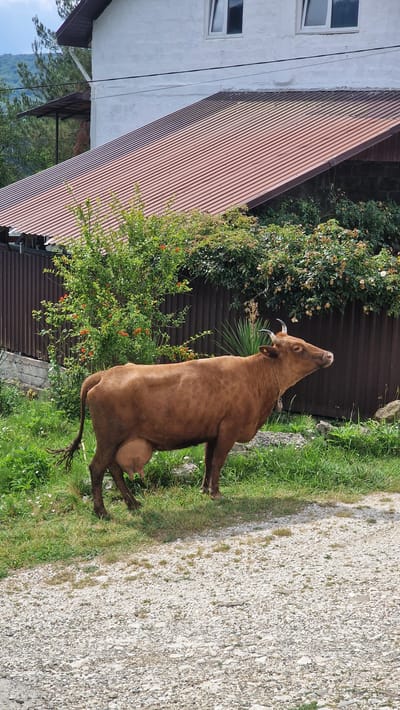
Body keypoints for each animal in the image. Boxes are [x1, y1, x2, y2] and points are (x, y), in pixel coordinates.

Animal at [55, 321, 333, 518]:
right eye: (297, 348)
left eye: (301, 340)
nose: (329, 354)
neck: (255, 375)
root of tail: (104, 374)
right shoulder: (229, 429)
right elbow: (219, 462)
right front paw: (217, 494)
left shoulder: (213, 431)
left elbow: (209, 462)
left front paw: (204, 489)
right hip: (109, 439)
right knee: (97, 468)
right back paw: (102, 511)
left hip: (115, 442)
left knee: (113, 469)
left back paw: (133, 503)